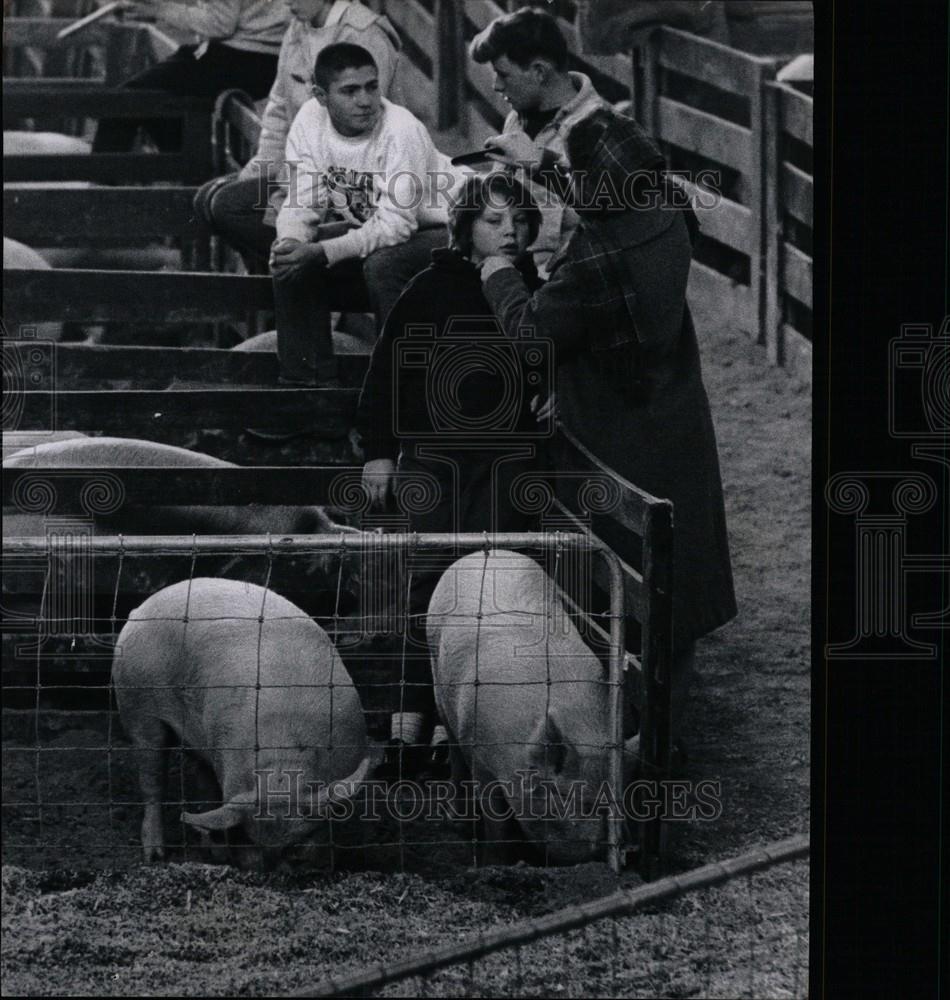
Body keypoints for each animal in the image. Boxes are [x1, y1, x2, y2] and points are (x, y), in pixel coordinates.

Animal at [111, 580, 380, 868]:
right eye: (252, 839)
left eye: (297, 842)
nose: (276, 870)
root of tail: (140, 609)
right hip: (137, 706)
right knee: (152, 779)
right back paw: (155, 856)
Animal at [430, 552, 640, 864]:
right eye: (583, 803)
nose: (630, 847)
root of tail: (485, 552)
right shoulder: (481, 758)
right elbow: (496, 822)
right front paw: (496, 862)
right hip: (436, 677)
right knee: (454, 752)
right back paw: (456, 821)